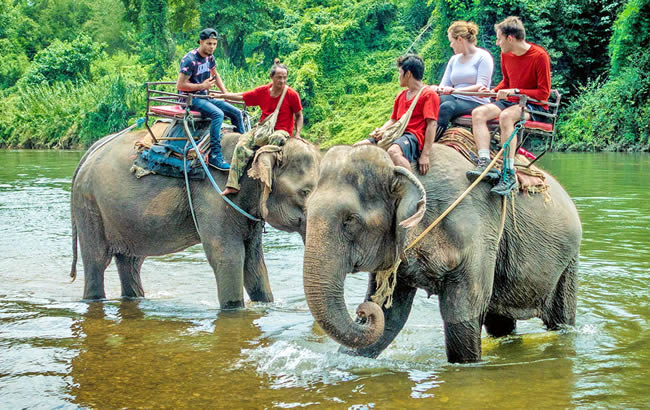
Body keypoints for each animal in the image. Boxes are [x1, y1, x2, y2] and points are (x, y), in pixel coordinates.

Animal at [70, 126, 320, 308]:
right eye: (305, 192)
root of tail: (91, 150)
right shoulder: (216, 196)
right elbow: (227, 256)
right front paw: (234, 309)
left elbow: (254, 261)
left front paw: (265, 304)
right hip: (89, 205)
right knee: (97, 261)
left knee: (130, 261)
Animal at [303, 143, 581, 363]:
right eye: (305, 210)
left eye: (349, 220)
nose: (362, 312)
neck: (402, 168)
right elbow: (391, 316)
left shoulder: (475, 233)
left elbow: (461, 314)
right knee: (500, 323)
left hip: (568, 261)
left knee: (560, 320)